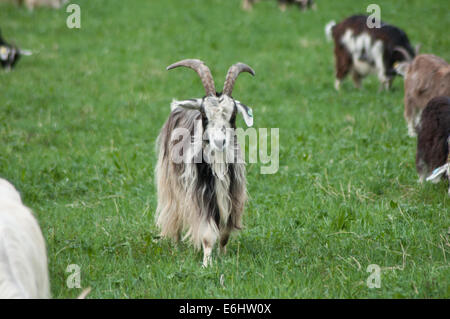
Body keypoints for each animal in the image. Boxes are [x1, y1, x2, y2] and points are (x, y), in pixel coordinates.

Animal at [155, 58, 255, 268]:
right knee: (174, 214)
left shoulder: (232, 197)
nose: (219, 141)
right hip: (170, 185)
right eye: (205, 115)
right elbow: (208, 234)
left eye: (233, 116)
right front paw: (207, 264)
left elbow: (224, 234)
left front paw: (223, 256)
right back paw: (176, 247)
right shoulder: (201, 196)